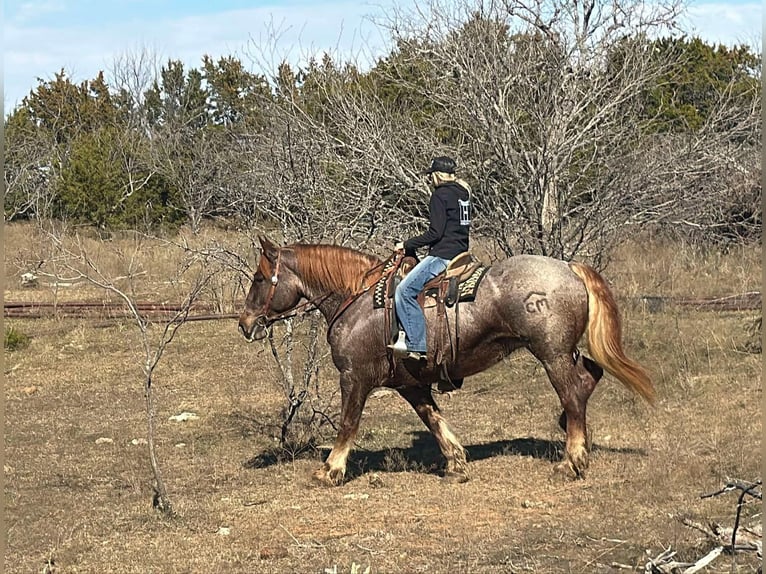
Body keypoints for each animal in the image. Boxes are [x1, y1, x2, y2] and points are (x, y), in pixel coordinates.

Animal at [238, 236, 655, 486]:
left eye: (259, 278)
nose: (245, 323)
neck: (357, 299)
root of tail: (568, 268)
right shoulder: (410, 385)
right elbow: (433, 419)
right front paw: (456, 462)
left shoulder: (354, 378)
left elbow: (348, 424)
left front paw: (331, 469)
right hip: (566, 352)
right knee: (589, 378)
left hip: (551, 355)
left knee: (573, 393)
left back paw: (572, 459)